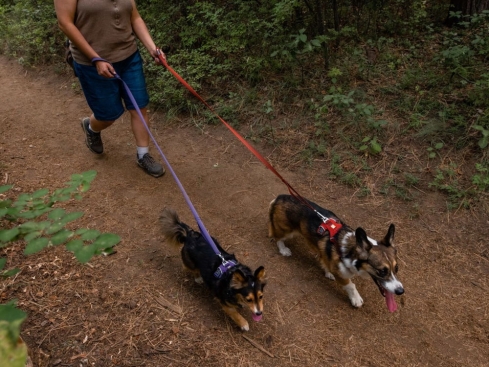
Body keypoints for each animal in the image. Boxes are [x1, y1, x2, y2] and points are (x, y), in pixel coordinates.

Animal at [268, 194, 402, 312]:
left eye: (396, 268)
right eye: (382, 271)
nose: (401, 291)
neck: (350, 253)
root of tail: (279, 197)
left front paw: (328, 272)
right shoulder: (342, 275)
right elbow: (350, 285)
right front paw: (356, 299)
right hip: (286, 230)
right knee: (277, 238)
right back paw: (283, 250)